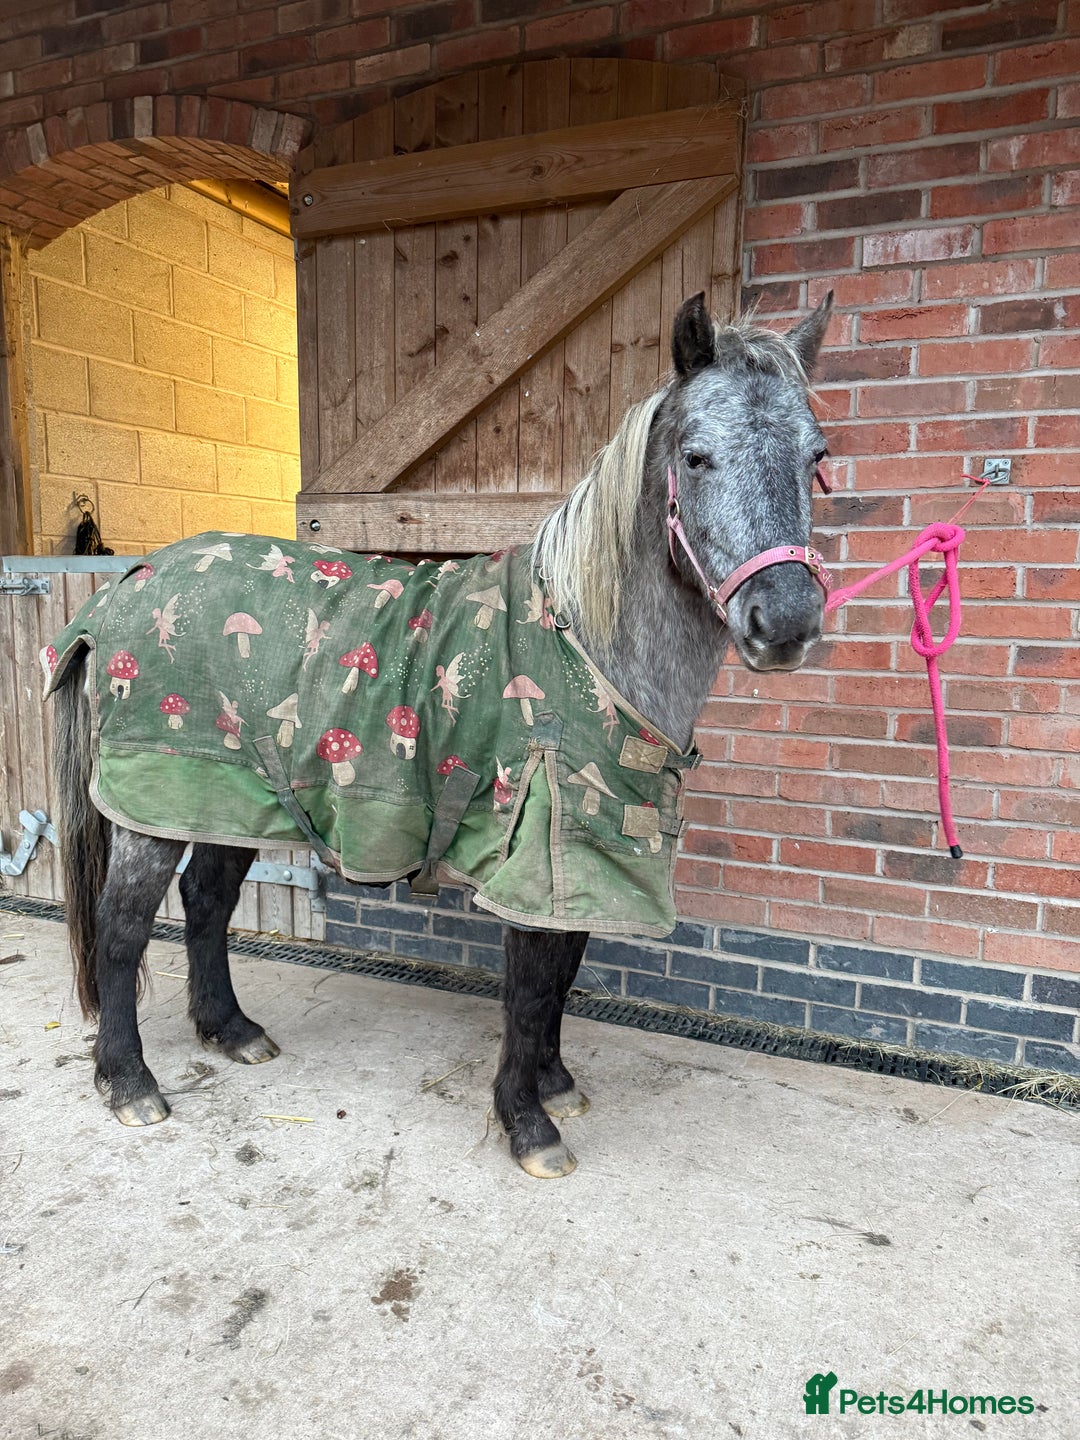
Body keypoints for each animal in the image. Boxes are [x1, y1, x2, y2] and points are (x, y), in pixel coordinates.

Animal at [48, 291, 833, 1178]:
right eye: (696, 458)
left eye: (816, 456)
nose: (786, 623)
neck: (584, 647)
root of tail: (124, 589)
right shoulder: (540, 844)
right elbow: (531, 986)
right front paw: (529, 1124)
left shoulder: (583, 846)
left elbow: (563, 969)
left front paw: (556, 1084)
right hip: (158, 803)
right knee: (122, 930)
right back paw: (129, 1082)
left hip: (229, 795)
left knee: (206, 902)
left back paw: (232, 1031)